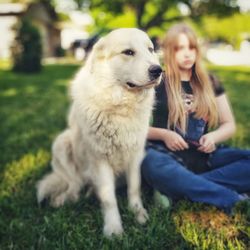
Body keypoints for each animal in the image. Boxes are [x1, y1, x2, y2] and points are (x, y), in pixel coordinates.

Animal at [37, 27, 162, 236]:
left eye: (150, 50)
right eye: (128, 52)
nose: (158, 70)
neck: (119, 105)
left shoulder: (135, 155)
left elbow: (134, 188)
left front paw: (138, 214)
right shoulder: (100, 158)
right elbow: (108, 198)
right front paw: (113, 229)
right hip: (62, 143)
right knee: (74, 184)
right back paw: (63, 199)